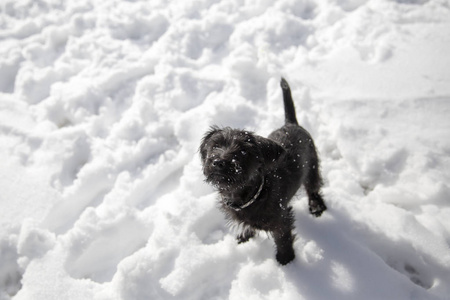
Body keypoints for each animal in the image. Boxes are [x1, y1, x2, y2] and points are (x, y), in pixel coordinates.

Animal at [200, 78, 326, 264]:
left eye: (243, 152)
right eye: (216, 145)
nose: (219, 162)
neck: (248, 195)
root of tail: (291, 123)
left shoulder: (281, 219)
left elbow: (283, 238)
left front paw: (286, 260)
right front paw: (245, 236)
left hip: (311, 164)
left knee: (313, 186)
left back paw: (316, 206)